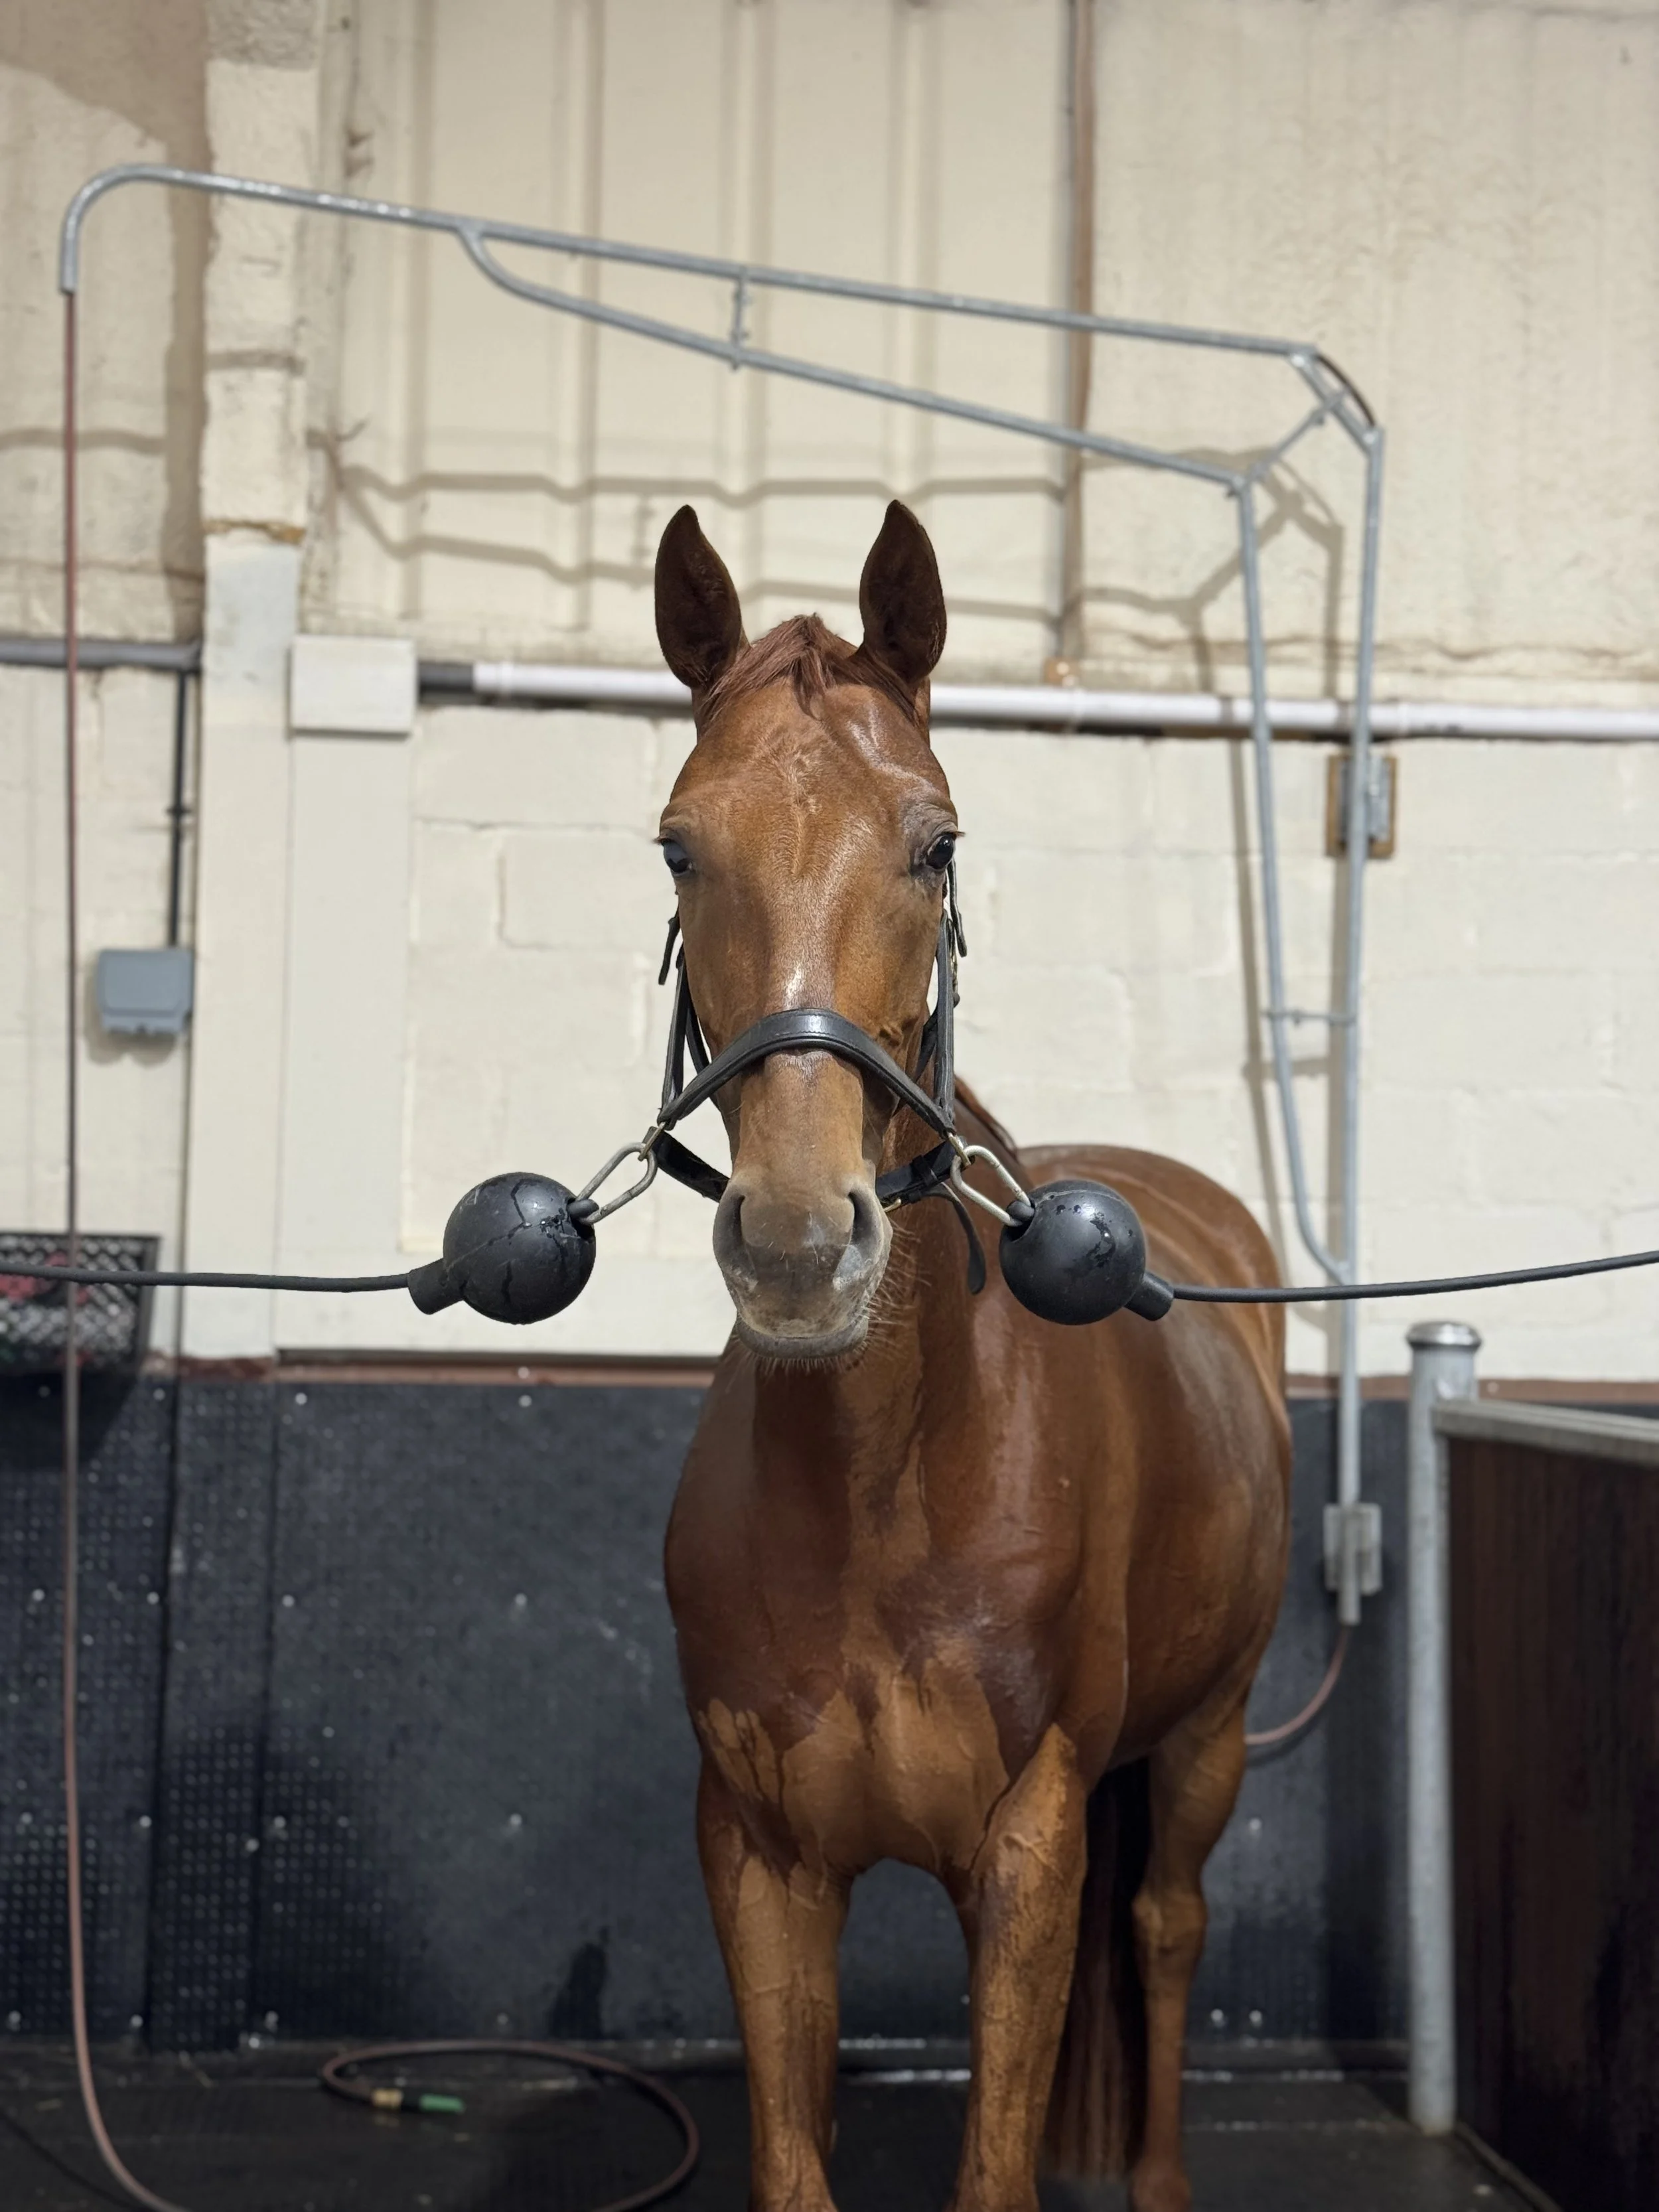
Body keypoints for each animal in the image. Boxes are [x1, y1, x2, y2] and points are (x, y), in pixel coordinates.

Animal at [654, 500, 1290, 2212]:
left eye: (933, 840)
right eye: (679, 843)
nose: (796, 1242)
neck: (884, 1485)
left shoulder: (1026, 1846)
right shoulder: (758, 1859)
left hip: (1204, 1743)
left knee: (1166, 1929)